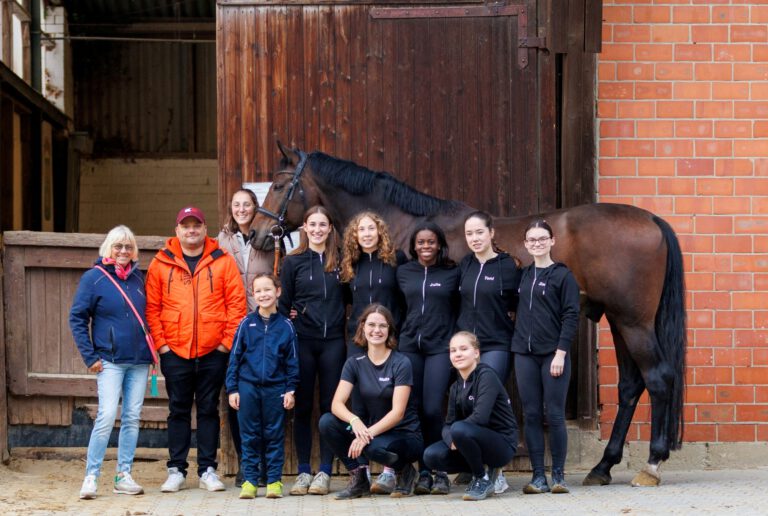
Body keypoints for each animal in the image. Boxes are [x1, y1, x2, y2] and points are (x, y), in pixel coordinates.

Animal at [254, 143, 688, 486]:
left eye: (279, 185)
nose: (257, 233)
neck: (407, 227)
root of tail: (652, 220)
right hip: (619, 320)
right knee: (631, 386)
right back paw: (603, 466)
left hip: (633, 322)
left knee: (658, 379)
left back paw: (651, 464)